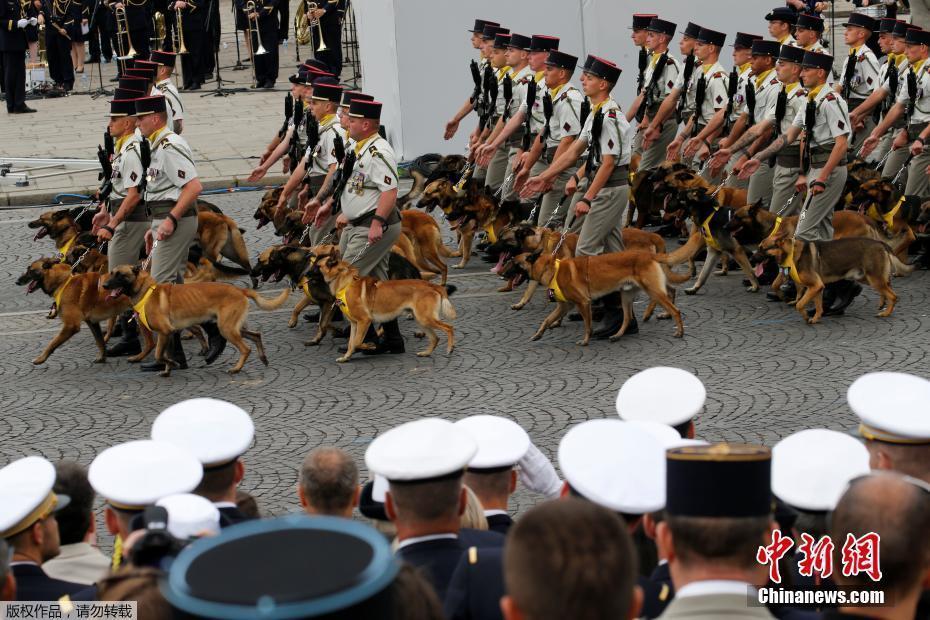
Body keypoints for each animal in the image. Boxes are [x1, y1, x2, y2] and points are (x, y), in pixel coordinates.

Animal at [101, 264, 290, 376]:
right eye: (111, 273)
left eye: (120, 275)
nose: (104, 286)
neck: (146, 291)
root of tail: (241, 290)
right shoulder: (168, 334)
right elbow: (165, 354)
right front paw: (168, 369)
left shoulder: (164, 332)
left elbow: (159, 354)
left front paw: (171, 364)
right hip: (235, 327)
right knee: (256, 335)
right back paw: (263, 358)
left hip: (227, 329)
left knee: (246, 348)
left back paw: (236, 368)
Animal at [312, 256, 456, 364]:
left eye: (316, 265)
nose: (306, 277)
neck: (345, 283)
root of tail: (432, 285)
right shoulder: (354, 324)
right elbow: (351, 343)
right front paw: (346, 357)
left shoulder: (364, 321)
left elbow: (357, 342)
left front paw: (370, 346)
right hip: (421, 321)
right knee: (435, 338)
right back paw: (426, 353)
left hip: (425, 319)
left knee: (449, 328)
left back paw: (450, 348)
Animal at [512, 251, 684, 346]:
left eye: (515, 263)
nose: (504, 273)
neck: (553, 268)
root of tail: (649, 255)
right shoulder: (564, 307)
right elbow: (546, 320)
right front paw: (538, 334)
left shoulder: (583, 303)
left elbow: (588, 326)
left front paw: (585, 341)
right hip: (626, 296)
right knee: (627, 318)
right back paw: (616, 336)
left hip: (654, 292)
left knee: (675, 310)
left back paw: (680, 332)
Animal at [756, 235, 908, 324]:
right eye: (759, 248)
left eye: (763, 249)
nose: (752, 259)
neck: (790, 253)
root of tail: (881, 243)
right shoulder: (816, 288)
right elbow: (818, 306)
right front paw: (816, 318)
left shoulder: (815, 286)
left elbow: (800, 304)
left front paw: (806, 316)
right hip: (867, 277)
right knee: (888, 286)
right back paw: (882, 303)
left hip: (874, 278)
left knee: (893, 295)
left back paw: (886, 313)